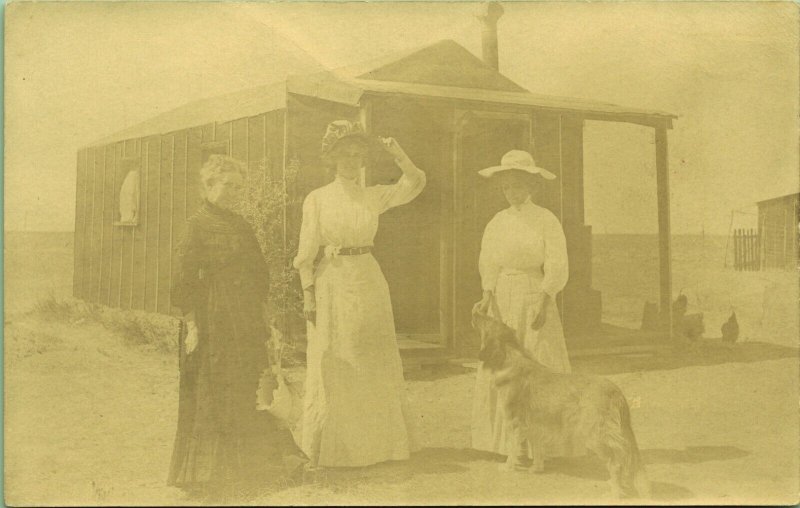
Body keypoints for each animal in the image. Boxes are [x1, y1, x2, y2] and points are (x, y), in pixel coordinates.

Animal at [476, 310, 648, 500]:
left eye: (487, 321)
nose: (476, 312)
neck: (510, 356)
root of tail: (615, 390)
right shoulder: (535, 424)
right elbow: (537, 449)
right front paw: (537, 468)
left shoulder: (514, 422)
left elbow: (512, 449)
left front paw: (507, 467)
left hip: (595, 435)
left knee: (616, 463)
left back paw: (615, 493)